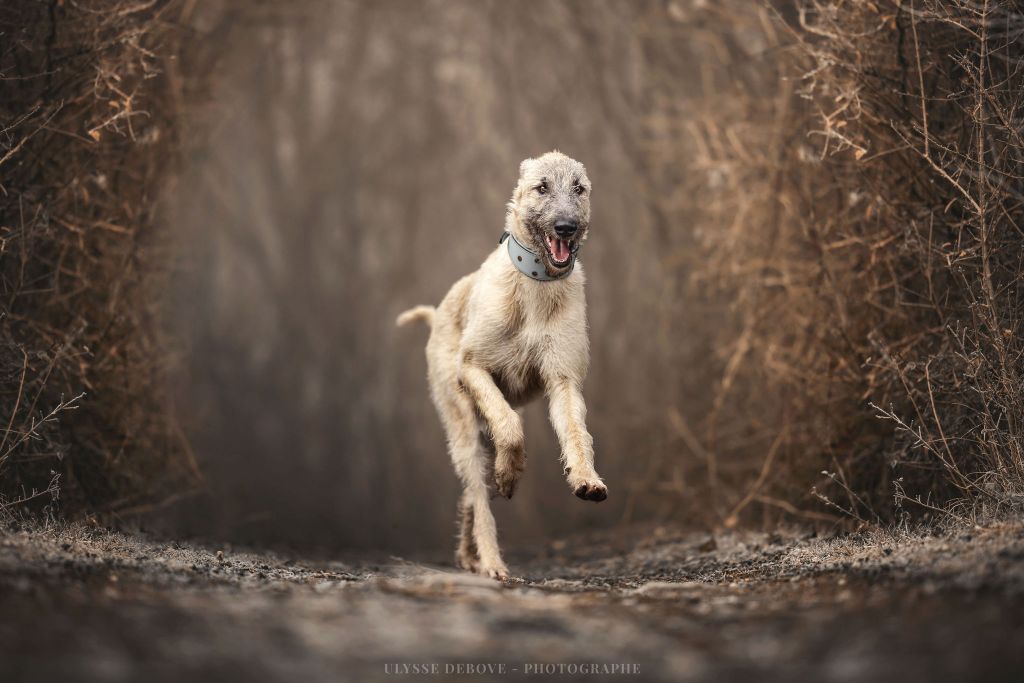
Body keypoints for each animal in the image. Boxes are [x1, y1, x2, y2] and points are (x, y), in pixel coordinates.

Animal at [397, 152, 606, 581]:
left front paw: (585, 479)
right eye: (542, 186)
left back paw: (469, 554)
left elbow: (577, 433)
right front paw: (510, 475)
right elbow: (510, 427)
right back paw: (491, 562)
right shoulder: (473, 368)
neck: (535, 285)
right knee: (478, 493)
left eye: (579, 188)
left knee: (470, 495)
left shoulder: (563, 379)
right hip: (462, 428)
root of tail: (437, 314)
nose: (566, 226)